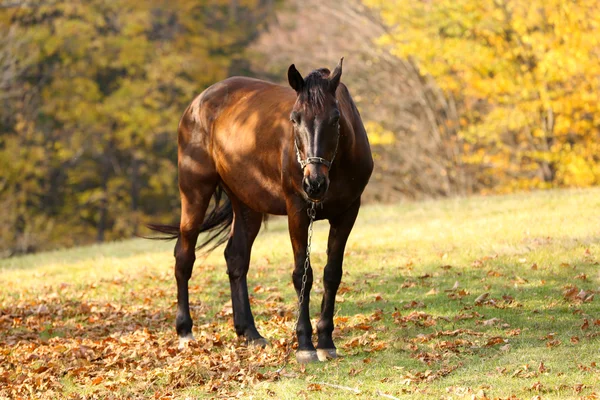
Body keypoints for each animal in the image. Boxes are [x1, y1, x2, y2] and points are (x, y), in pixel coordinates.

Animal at [149, 58, 372, 362]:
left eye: (336, 118)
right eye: (294, 119)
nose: (314, 183)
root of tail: (197, 103)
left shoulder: (347, 213)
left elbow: (332, 274)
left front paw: (326, 341)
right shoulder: (298, 211)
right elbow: (302, 276)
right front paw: (305, 345)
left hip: (247, 205)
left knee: (236, 258)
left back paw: (250, 333)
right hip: (195, 191)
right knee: (184, 256)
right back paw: (185, 331)